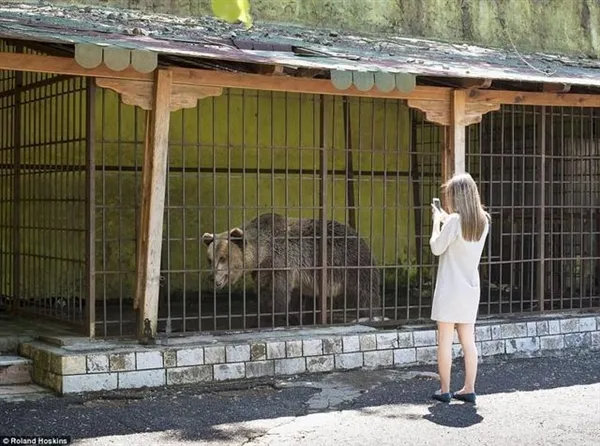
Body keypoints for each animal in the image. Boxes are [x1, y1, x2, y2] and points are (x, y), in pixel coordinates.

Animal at [202, 213, 380, 324]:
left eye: (223, 258)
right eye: (210, 259)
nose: (211, 277)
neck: (263, 252)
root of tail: (359, 235)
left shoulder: (281, 262)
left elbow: (275, 294)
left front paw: (268, 318)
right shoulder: (264, 270)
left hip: (350, 262)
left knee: (364, 291)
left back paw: (369, 315)